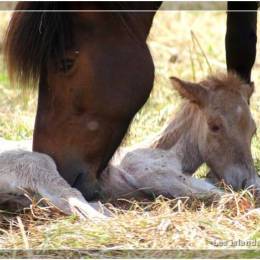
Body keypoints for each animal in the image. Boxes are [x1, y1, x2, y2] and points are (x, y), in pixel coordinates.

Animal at [0, 72, 258, 217]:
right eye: (215, 126)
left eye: (253, 129)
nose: (247, 181)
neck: (162, 149)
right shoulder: (149, 171)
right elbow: (218, 195)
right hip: (39, 166)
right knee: (71, 198)